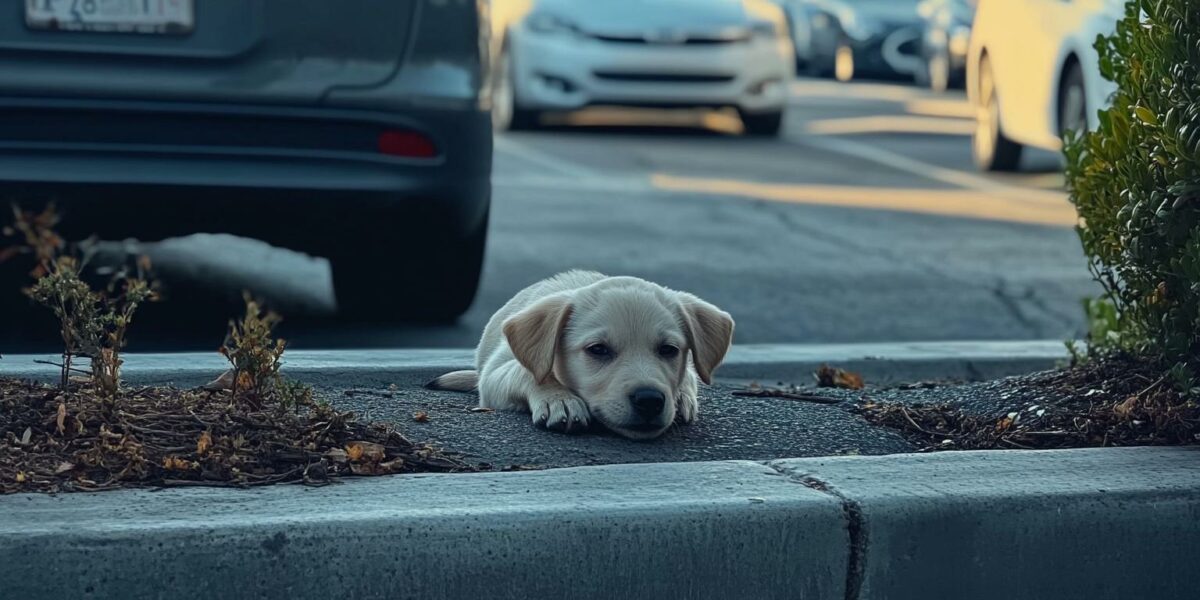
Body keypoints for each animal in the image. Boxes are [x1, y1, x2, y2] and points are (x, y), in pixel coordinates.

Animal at [432, 272, 729, 441]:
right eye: (598, 349)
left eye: (668, 350)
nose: (649, 401)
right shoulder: (494, 373)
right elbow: (531, 372)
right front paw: (560, 400)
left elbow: (689, 376)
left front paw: (682, 397)